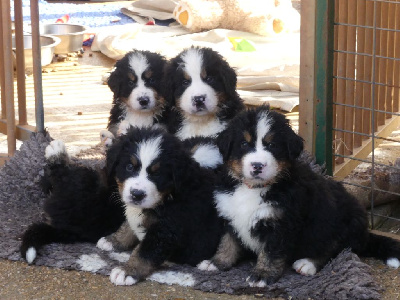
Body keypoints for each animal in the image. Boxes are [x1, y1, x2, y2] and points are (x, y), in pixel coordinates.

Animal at [95, 125, 223, 284]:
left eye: (157, 174)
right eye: (130, 167)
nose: (137, 194)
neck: (167, 197)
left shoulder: (166, 229)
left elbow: (144, 253)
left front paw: (127, 271)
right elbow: (128, 225)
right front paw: (113, 240)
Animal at [199, 105, 400, 286]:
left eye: (272, 145)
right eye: (244, 144)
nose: (257, 166)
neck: (253, 188)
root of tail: (365, 233)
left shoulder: (280, 224)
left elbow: (270, 253)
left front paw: (262, 275)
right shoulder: (230, 214)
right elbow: (227, 242)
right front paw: (216, 263)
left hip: (341, 222)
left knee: (337, 248)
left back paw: (308, 263)